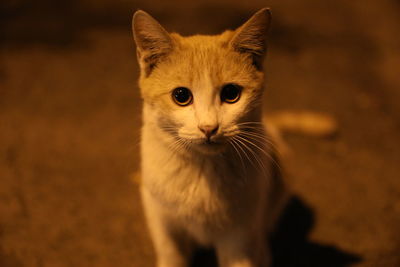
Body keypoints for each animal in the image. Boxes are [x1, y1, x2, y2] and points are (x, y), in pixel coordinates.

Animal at [134, 8, 288, 267]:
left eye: (231, 93)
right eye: (181, 96)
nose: (208, 127)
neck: (203, 171)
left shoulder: (239, 236)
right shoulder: (161, 217)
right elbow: (171, 254)